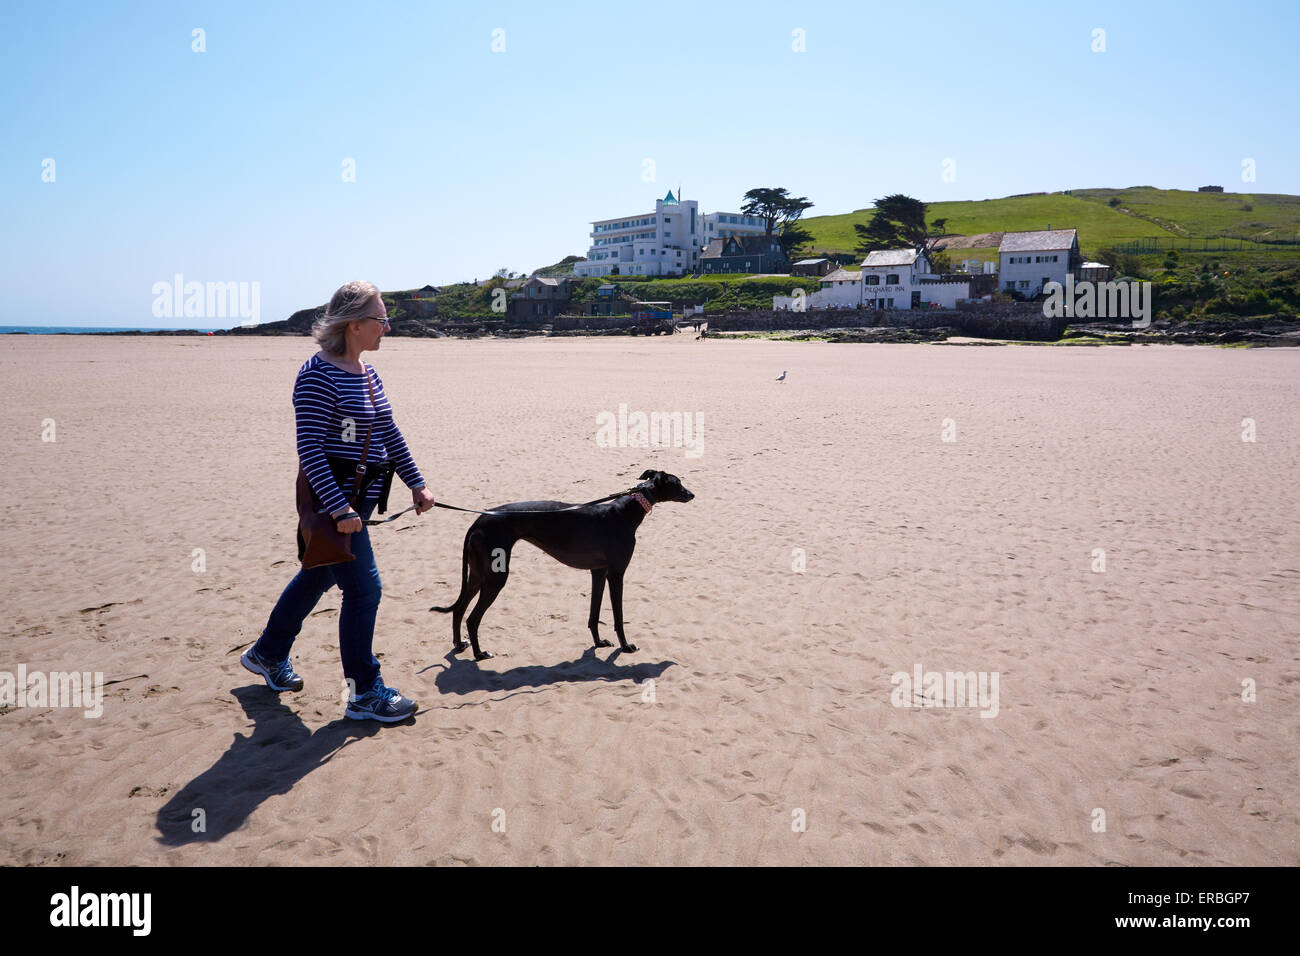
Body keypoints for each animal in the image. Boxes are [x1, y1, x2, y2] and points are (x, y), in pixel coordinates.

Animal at [431, 468, 696, 658]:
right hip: (496, 576)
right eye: (677, 483)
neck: (626, 510)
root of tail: (477, 522)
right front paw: (626, 646)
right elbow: (618, 617)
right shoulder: (616, 573)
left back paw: (459, 644)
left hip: (477, 573)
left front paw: (599, 642)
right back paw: (479, 653)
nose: (692, 494)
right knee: (472, 617)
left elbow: (594, 613)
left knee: (459, 608)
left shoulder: (598, 571)